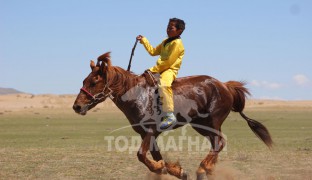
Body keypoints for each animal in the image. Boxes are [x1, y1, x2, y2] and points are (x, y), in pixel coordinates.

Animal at [73, 51, 272, 179]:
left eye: (94, 82)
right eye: (84, 81)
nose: (76, 106)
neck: (137, 95)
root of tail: (224, 85)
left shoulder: (151, 131)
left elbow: (141, 155)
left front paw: (162, 168)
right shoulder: (146, 134)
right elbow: (155, 157)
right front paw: (175, 171)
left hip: (212, 122)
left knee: (219, 142)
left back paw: (203, 169)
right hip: (201, 125)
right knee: (217, 143)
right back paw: (208, 170)